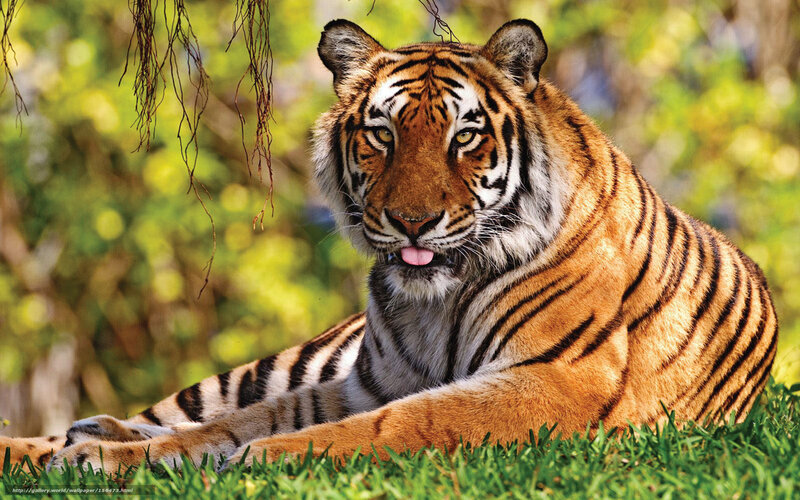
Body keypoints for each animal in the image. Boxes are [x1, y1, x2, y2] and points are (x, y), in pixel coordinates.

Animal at [0, 18, 778, 473]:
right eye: (382, 133)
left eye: (465, 136)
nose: (411, 222)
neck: (433, 302)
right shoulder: (361, 381)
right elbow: (230, 423)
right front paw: (106, 457)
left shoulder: (554, 380)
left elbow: (396, 424)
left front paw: (256, 459)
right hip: (271, 365)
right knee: (173, 411)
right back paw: (71, 439)